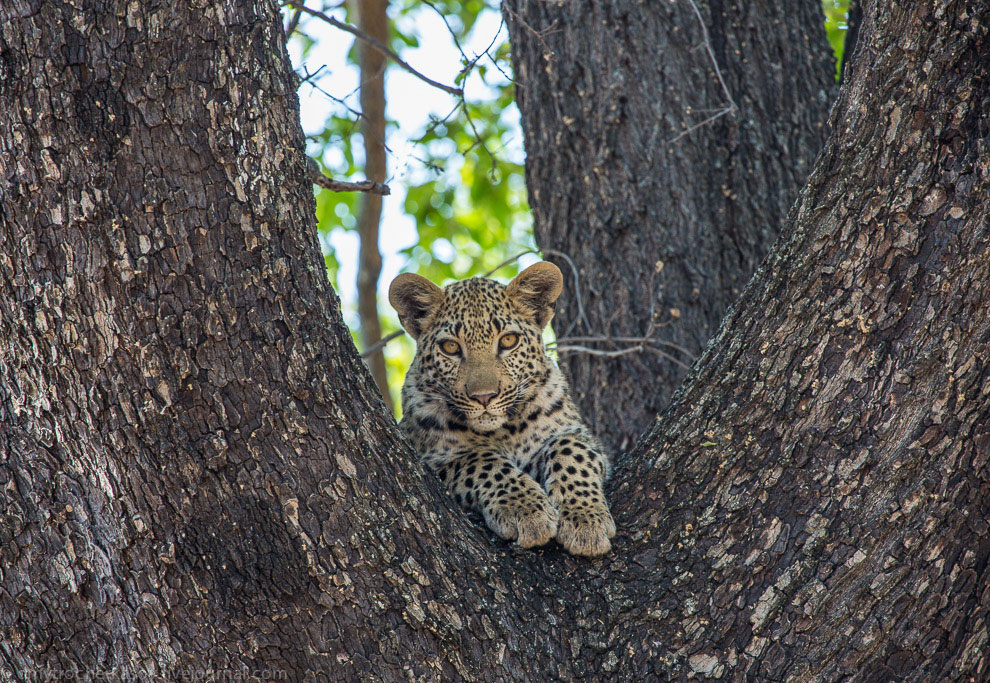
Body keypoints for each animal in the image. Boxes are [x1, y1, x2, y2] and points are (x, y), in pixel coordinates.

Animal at [390, 262, 616, 556]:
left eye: (508, 341)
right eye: (450, 347)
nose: (484, 397)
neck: (504, 431)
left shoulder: (575, 432)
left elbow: (570, 450)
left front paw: (586, 519)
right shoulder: (431, 459)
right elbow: (482, 461)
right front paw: (526, 511)